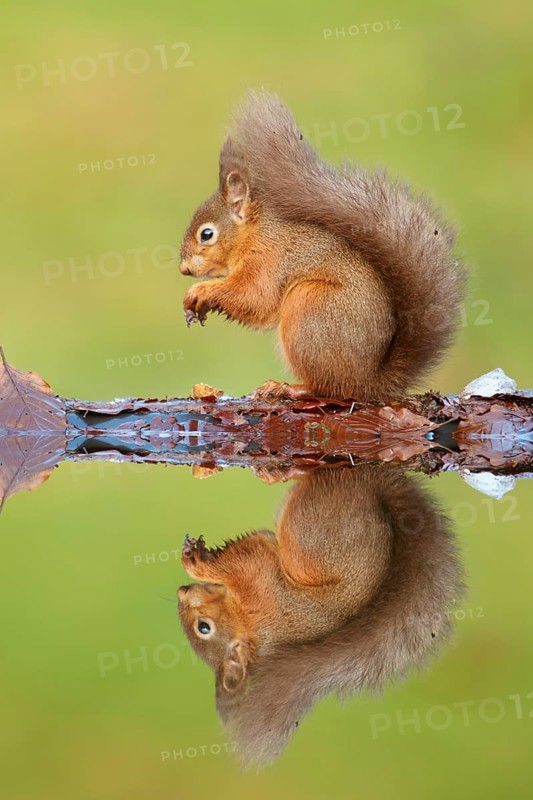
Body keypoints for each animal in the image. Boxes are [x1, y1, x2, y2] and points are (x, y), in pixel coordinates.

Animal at [177, 466, 464, 767]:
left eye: (203, 627)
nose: (181, 593)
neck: (246, 622)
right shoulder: (257, 578)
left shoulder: (255, 577)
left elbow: (243, 555)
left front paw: (198, 562)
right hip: (313, 521)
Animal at [179, 90, 467, 401]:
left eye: (207, 234)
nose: (184, 269)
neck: (255, 235)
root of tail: (369, 382)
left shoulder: (269, 261)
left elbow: (254, 297)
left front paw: (201, 292)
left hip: (309, 310)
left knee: (328, 387)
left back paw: (288, 388)